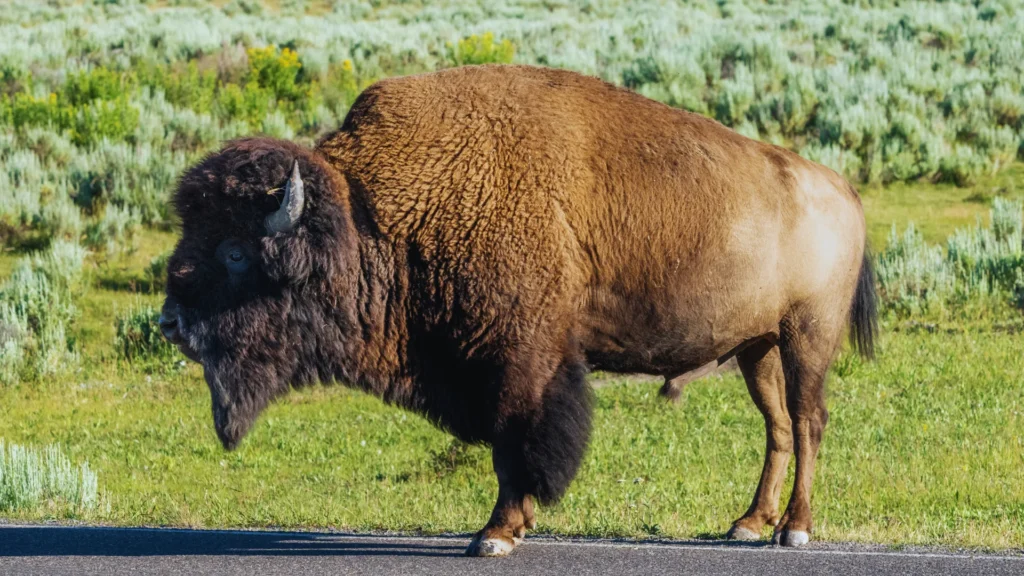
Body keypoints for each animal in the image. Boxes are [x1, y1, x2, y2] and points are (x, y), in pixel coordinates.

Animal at [160, 65, 877, 556]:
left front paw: (496, 534)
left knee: (808, 421)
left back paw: (795, 530)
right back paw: (748, 524)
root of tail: (838, 188)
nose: (169, 323)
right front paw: (512, 527)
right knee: (777, 426)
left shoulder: (520, 359)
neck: (370, 213)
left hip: (806, 337)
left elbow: (517, 442)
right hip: (757, 348)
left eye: (233, 251)